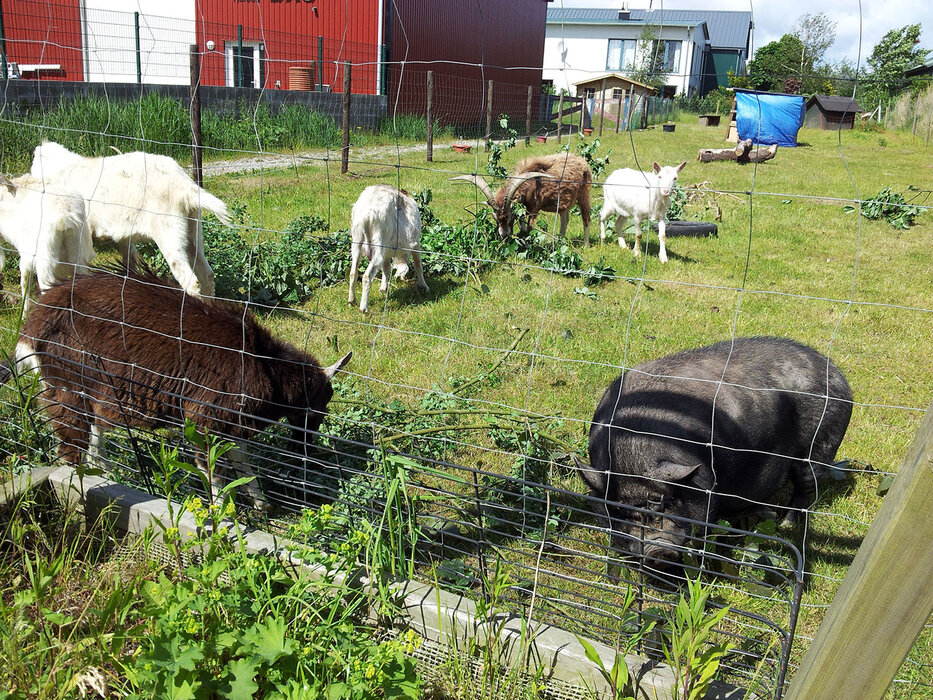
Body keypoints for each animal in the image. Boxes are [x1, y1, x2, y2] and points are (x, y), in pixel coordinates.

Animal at [0, 173, 93, 312]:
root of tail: (64, 217)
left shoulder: (27, 255)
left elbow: (25, 283)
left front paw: (24, 312)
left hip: (46, 257)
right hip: (80, 254)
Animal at [6, 270, 350, 508]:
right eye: (323, 399)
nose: (307, 449)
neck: (263, 363)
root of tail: (32, 326)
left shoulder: (233, 422)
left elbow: (242, 459)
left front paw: (260, 503)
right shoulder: (205, 417)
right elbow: (213, 468)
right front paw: (223, 516)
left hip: (93, 394)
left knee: (95, 438)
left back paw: (109, 476)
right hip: (67, 389)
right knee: (71, 449)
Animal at [30, 141, 230, 296]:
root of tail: (185, 186)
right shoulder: (124, 234)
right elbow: (129, 263)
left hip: (169, 231)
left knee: (191, 281)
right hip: (193, 229)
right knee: (207, 275)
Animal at [350, 185, 430, 314]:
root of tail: (366, 214)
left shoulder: (387, 251)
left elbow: (386, 267)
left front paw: (383, 288)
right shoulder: (416, 243)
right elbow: (418, 264)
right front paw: (424, 286)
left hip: (357, 241)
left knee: (353, 272)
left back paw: (352, 301)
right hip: (379, 244)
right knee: (367, 276)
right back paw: (363, 308)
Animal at [452, 152, 588, 242]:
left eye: (510, 216)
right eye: (495, 218)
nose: (504, 235)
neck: (530, 184)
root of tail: (582, 161)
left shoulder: (534, 208)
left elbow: (529, 227)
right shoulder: (522, 207)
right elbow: (522, 225)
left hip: (584, 195)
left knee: (586, 218)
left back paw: (585, 245)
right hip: (563, 204)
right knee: (565, 219)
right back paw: (559, 241)